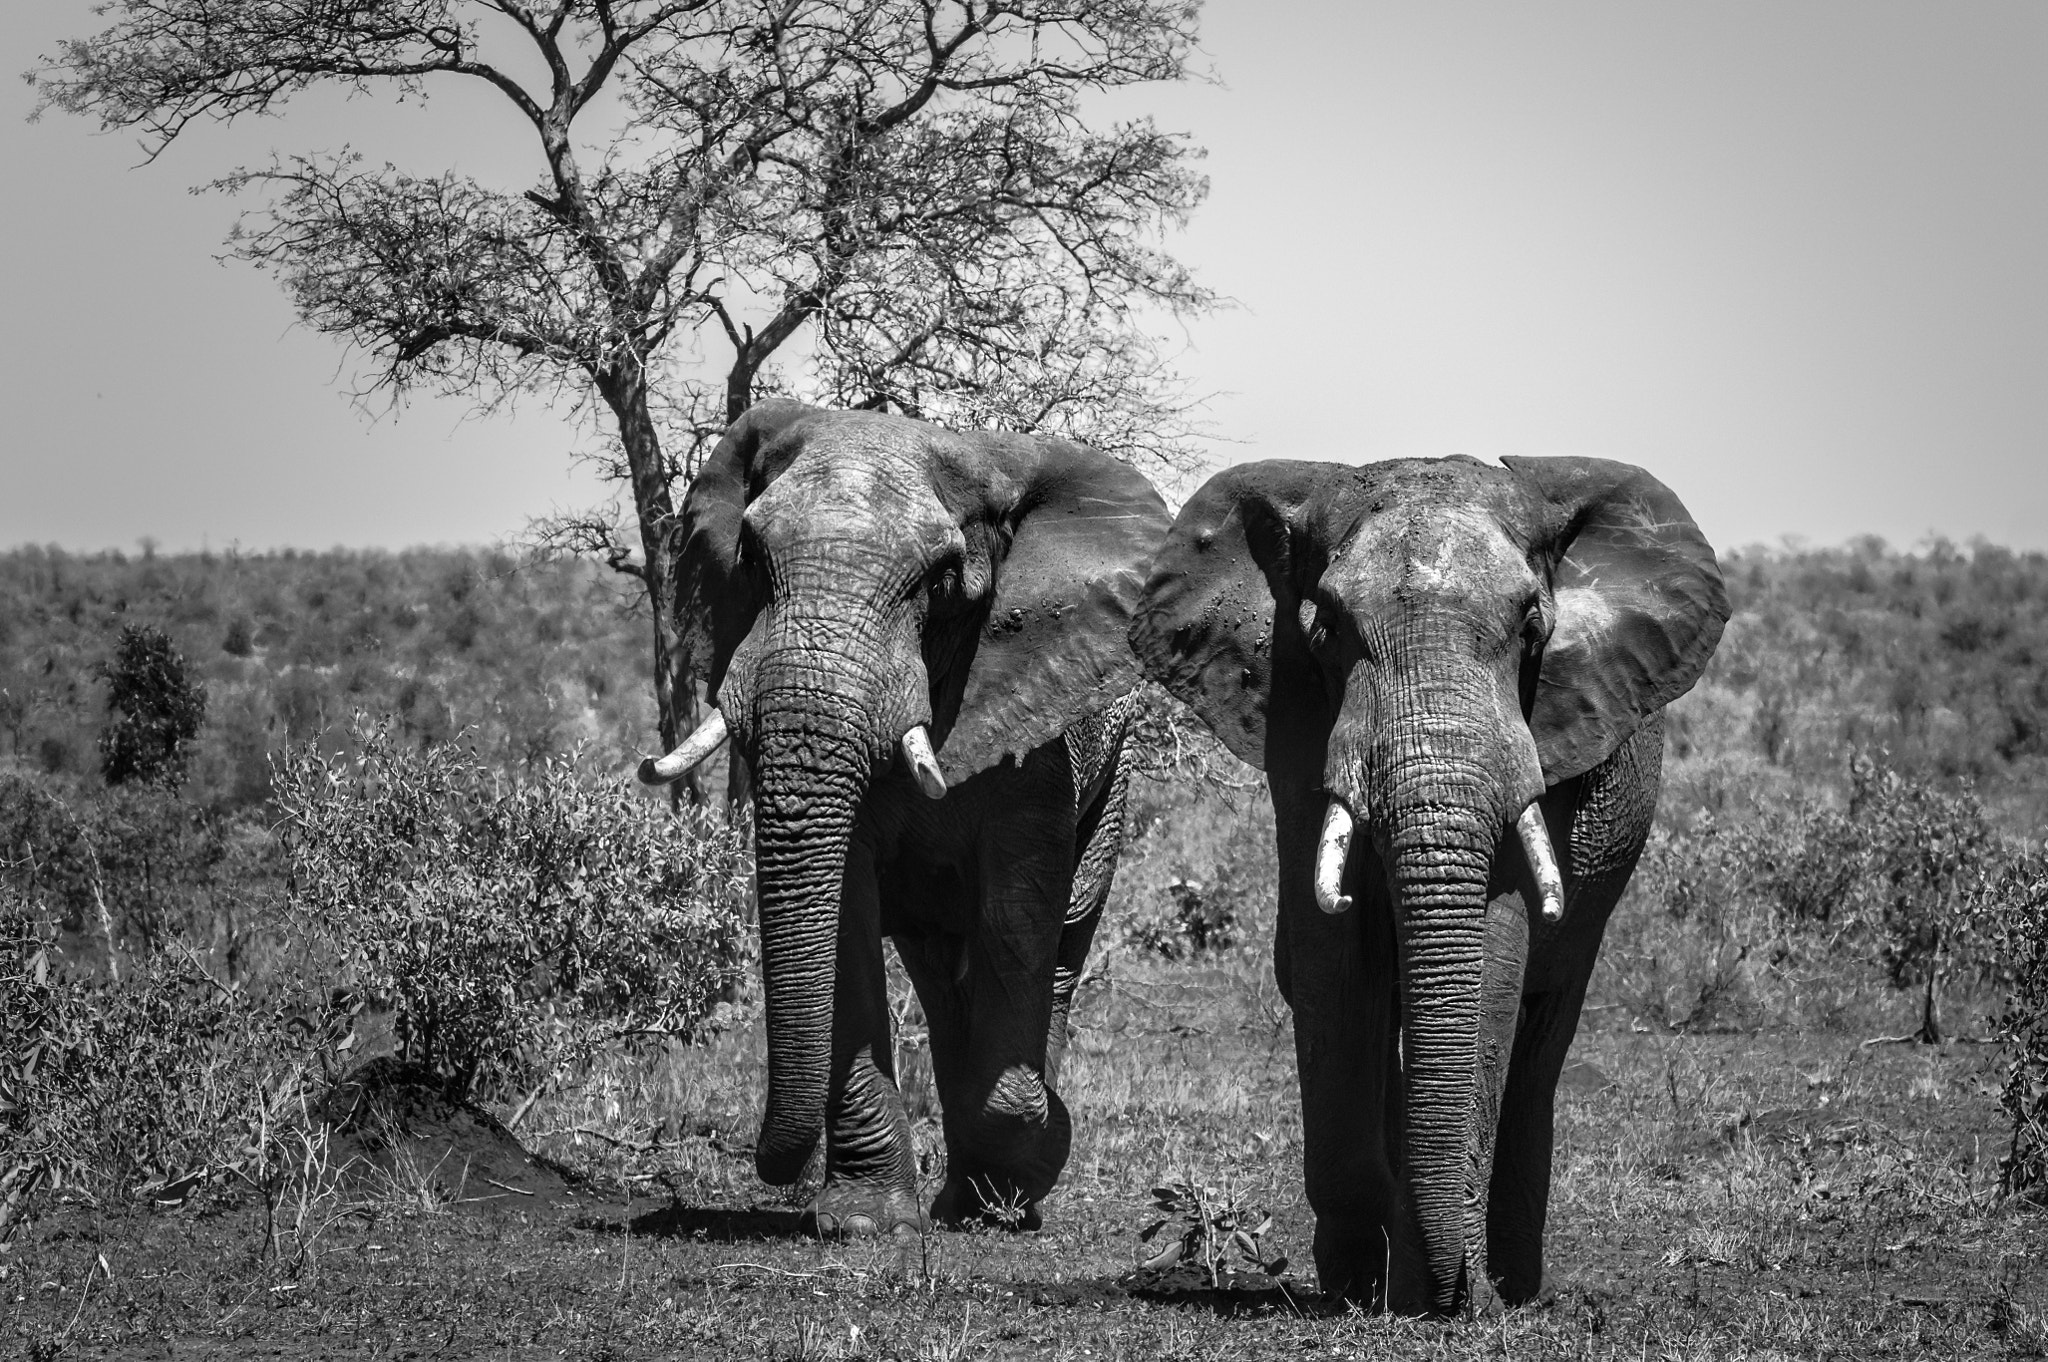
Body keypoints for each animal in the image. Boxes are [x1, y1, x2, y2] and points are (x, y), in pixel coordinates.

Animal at [634, 395, 1171, 1228]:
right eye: (750, 556)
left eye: (942, 579)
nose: (766, 1162)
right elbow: (847, 908)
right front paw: (866, 1221)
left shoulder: (1038, 736)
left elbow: (1020, 907)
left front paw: (1032, 1155)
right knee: (939, 976)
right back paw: (963, 1196)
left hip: (1113, 776)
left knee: (1063, 942)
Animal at [1138, 450, 1728, 1310]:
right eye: (1325, 629)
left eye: (1533, 627)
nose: (1451, 1291)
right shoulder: (1294, 718)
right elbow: (1333, 957)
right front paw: (1364, 1283)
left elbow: (1495, 954)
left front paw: (1443, 1296)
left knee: (1545, 1030)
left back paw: (1513, 1280)